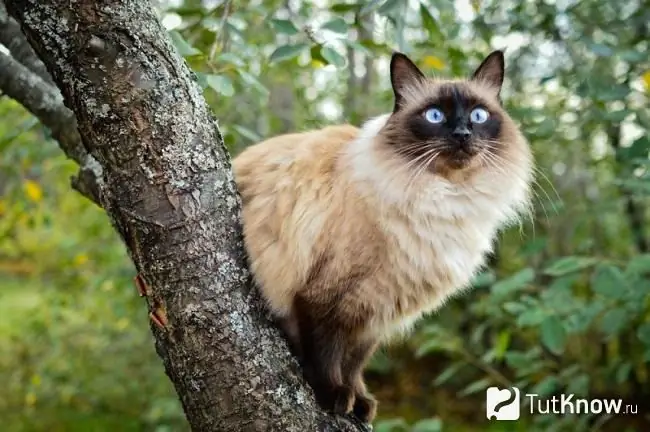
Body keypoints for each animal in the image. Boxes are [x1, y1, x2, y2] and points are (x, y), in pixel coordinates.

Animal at [233, 49, 532, 422]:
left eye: (478, 115)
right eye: (435, 116)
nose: (463, 133)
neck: (447, 198)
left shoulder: (375, 308)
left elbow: (354, 363)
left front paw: (360, 401)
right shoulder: (325, 297)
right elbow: (327, 354)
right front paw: (333, 396)